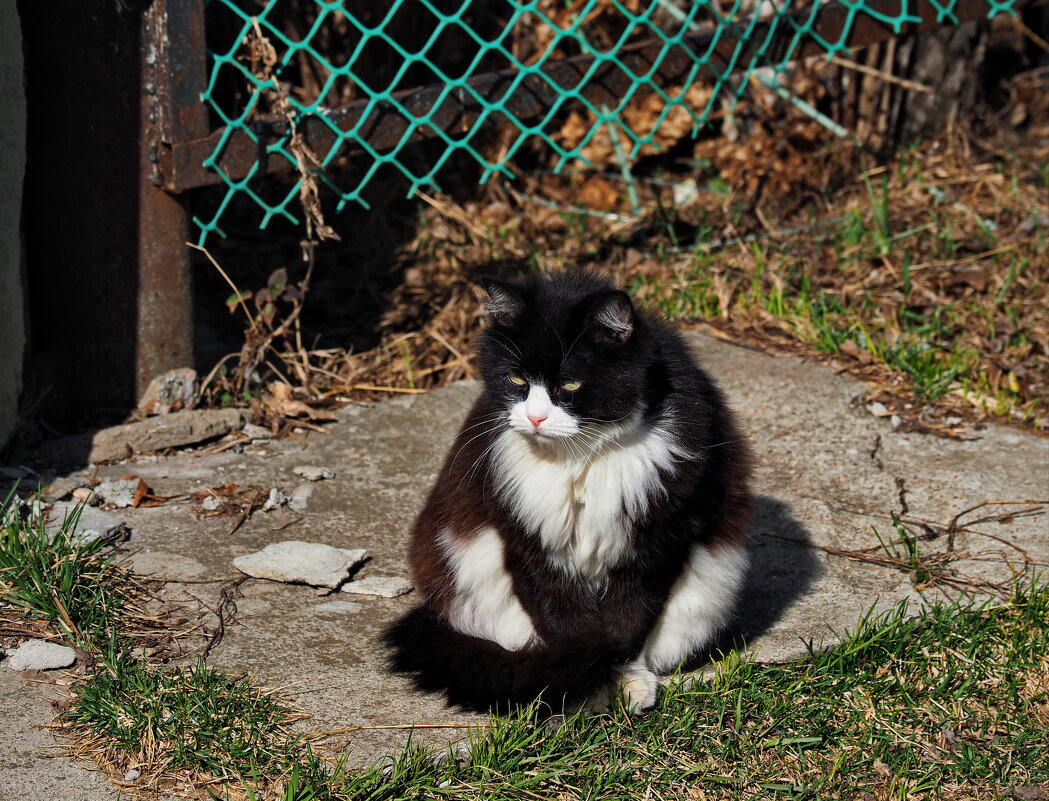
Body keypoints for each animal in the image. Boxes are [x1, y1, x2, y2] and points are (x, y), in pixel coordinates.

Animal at [386, 270, 755, 712]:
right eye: (517, 379)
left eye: (571, 384)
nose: (535, 418)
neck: (578, 460)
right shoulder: (531, 546)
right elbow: (569, 628)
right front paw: (586, 690)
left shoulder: (652, 547)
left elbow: (627, 623)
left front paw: (624, 684)